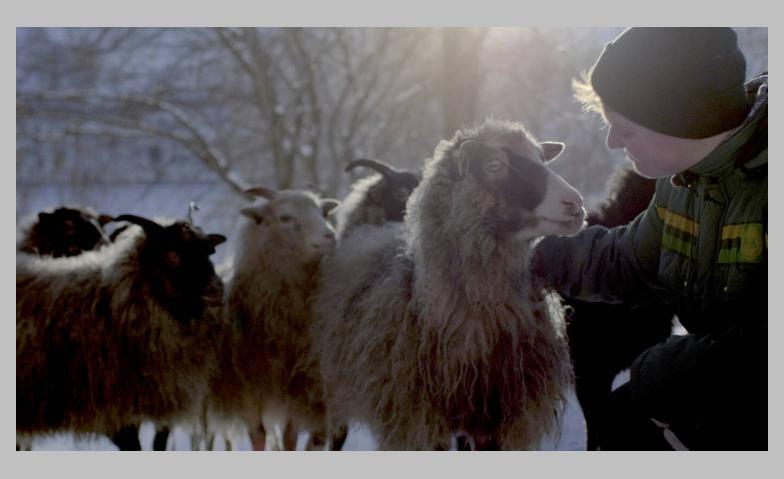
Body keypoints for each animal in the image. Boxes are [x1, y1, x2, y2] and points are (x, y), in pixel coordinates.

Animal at [206, 187, 341, 450]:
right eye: (285, 217)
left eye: (322, 212)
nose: (329, 236)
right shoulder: (248, 394)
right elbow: (258, 437)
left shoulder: (296, 391)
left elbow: (290, 438)